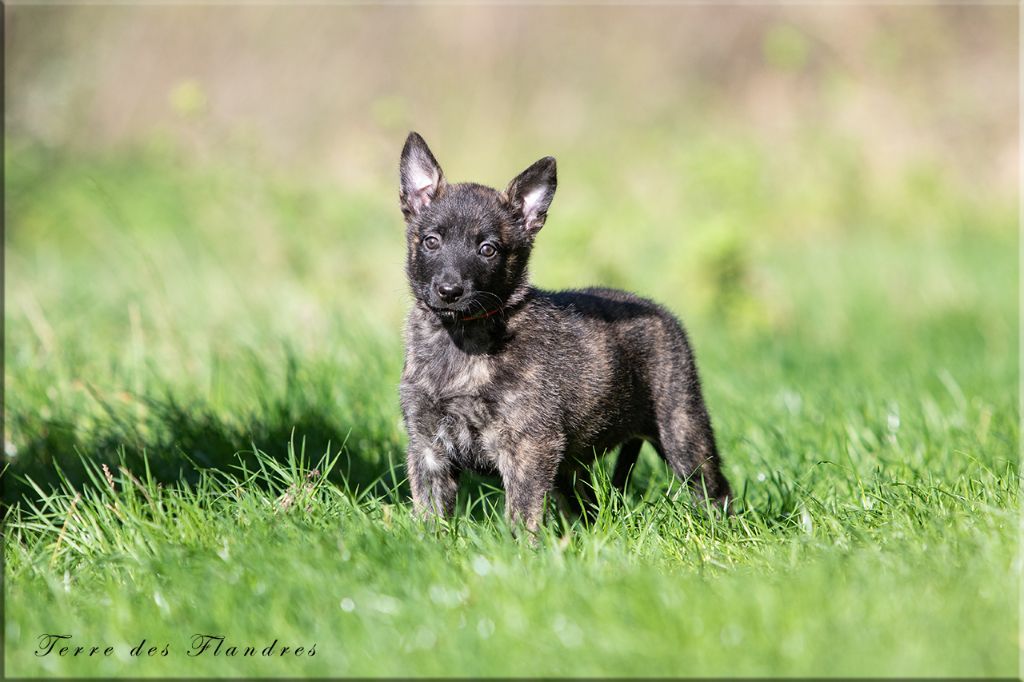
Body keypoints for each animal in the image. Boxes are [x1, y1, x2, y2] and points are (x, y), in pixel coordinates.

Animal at [395, 130, 733, 528]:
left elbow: (521, 516)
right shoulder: (427, 447)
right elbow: (429, 516)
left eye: (488, 249)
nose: (449, 291)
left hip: (682, 429)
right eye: (431, 241)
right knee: (586, 508)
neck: (460, 340)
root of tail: (660, 311)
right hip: (572, 468)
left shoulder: (528, 447)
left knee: (714, 489)